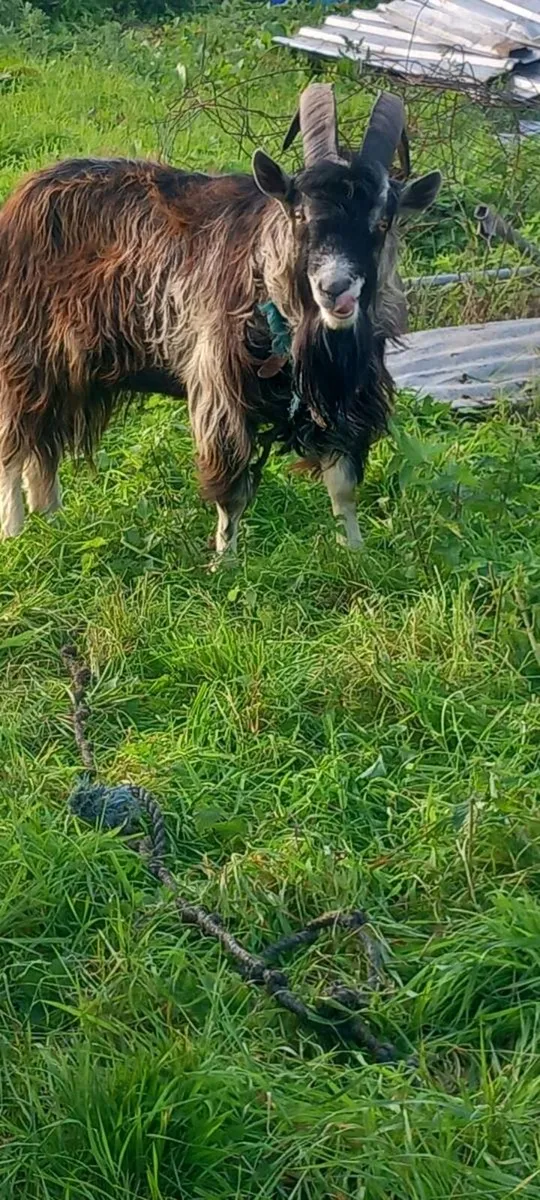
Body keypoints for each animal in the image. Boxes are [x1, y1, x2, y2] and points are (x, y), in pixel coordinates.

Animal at [0, 85, 441, 557]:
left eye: (382, 221)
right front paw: (224, 562)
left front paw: (355, 553)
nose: (335, 288)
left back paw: (51, 519)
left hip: (69, 370)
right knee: (13, 443)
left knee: (42, 447)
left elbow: (343, 486)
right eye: (299, 214)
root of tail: (22, 197)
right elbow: (232, 492)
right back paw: (15, 530)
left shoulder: (346, 399)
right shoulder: (221, 389)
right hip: (25, 353)